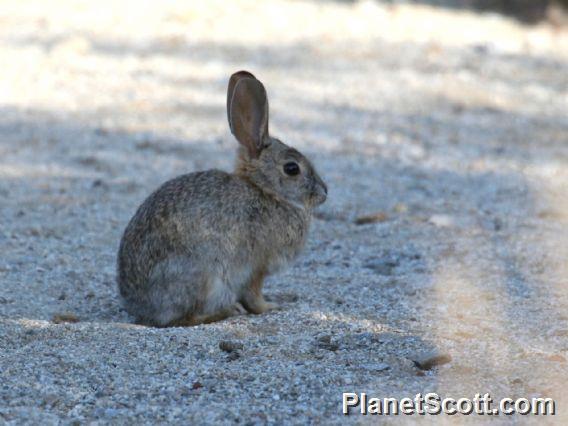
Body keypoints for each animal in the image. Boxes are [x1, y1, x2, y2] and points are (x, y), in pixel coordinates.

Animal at [116, 71, 328, 328]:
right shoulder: (256, 267)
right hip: (204, 277)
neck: (266, 191)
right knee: (183, 319)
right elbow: (254, 295)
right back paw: (227, 311)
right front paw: (271, 307)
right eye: (292, 168)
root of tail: (140, 308)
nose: (324, 193)